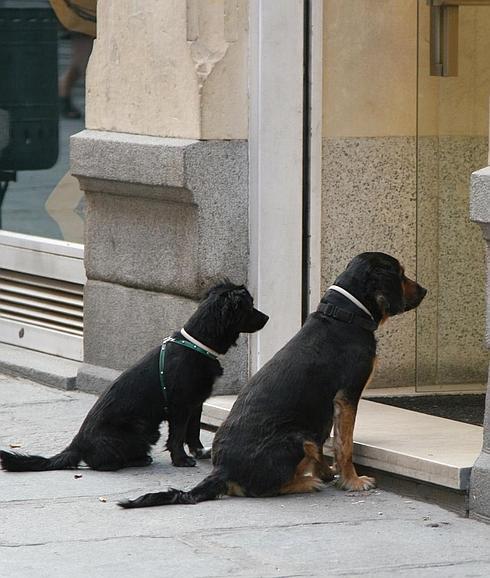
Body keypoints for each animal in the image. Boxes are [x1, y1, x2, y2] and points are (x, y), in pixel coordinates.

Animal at [0, 282, 268, 470]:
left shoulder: (196, 403)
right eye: (249, 305)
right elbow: (178, 435)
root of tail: (77, 444)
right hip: (140, 430)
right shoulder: (180, 406)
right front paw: (181, 460)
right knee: (102, 464)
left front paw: (200, 452)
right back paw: (138, 460)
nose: (267, 317)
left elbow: (193, 432)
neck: (197, 344)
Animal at [117, 250, 424, 506]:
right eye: (400, 273)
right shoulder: (347, 396)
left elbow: (325, 442)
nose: (425, 290)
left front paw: (328, 472)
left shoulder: (327, 410)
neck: (344, 315)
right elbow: (343, 445)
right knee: (265, 488)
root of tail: (222, 471)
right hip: (296, 438)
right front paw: (353, 481)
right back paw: (306, 482)